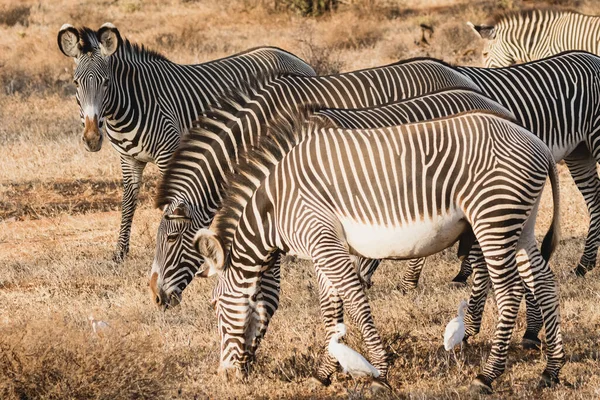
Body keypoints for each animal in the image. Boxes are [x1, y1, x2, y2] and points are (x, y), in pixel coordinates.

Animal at [58, 22, 316, 262]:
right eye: (76, 83)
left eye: (106, 82)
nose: (92, 138)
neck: (130, 104)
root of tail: (299, 60)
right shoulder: (129, 159)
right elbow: (128, 203)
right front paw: (120, 253)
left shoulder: (168, 152)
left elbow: (171, 204)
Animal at [195, 109, 564, 394]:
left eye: (215, 305)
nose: (225, 375)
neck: (274, 207)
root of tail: (538, 143)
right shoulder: (320, 249)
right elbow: (331, 310)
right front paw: (323, 374)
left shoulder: (323, 240)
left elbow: (355, 302)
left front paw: (380, 373)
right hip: (521, 222)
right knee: (544, 282)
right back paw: (551, 371)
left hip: (494, 218)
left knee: (510, 291)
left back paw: (487, 376)